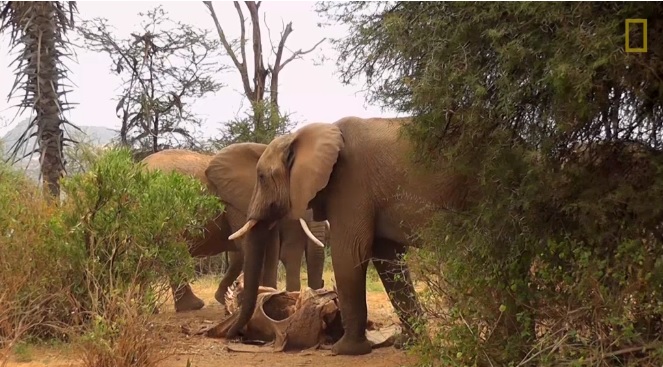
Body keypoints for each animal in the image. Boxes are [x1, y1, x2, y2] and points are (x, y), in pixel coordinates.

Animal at [227, 117, 462, 356]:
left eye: (261, 177)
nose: (235, 336)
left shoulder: (351, 185)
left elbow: (349, 254)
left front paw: (344, 350)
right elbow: (389, 261)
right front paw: (407, 344)